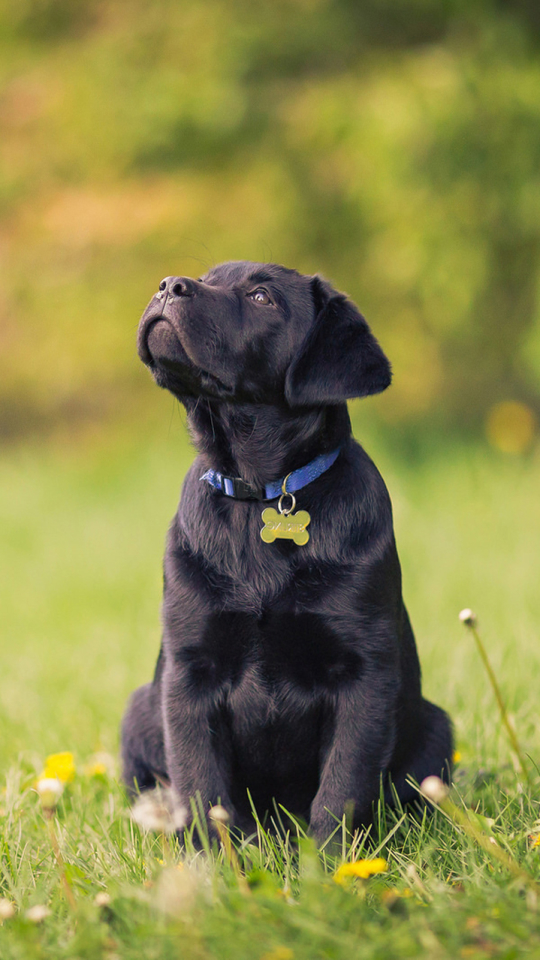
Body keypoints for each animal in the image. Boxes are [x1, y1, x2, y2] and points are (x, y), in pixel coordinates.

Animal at [121, 258, 452, 836]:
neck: (262, 493)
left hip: (436, 726)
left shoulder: (364, 674)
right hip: (140, 710)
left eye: (261, 297)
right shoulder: (189, 672)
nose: (168, 286)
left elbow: (342, 790)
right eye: (207, 275)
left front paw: (332, 860)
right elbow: (201, 786)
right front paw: (212, 858)